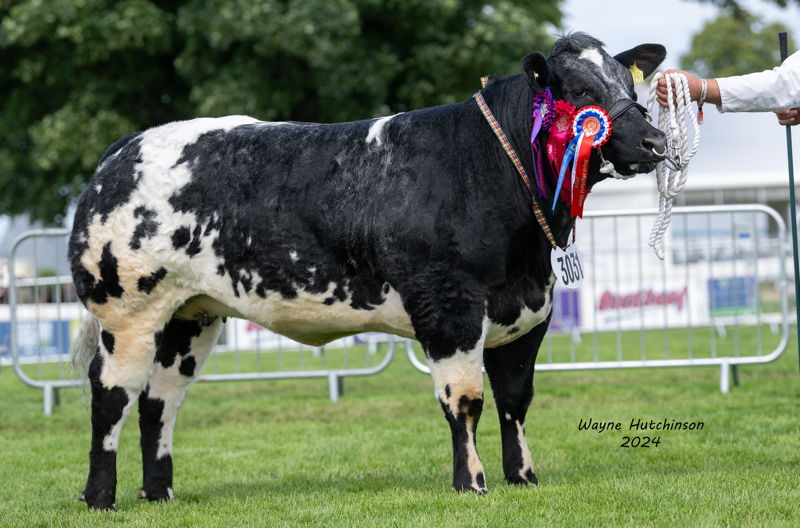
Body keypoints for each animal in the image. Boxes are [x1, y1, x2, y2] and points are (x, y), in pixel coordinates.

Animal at [70, 34, 668, 512]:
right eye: (581, 92)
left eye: (630, 86)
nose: (655, 142)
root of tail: (124, 150)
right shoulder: (447, 304)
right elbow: (465, 400)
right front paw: (471, 483)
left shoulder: (529, 311)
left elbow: (515, 400)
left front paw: (523, 478)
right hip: (128, 311)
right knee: (111, 395)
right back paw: (101, 498)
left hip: (189, 316)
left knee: (160, 399)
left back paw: (159, 493)